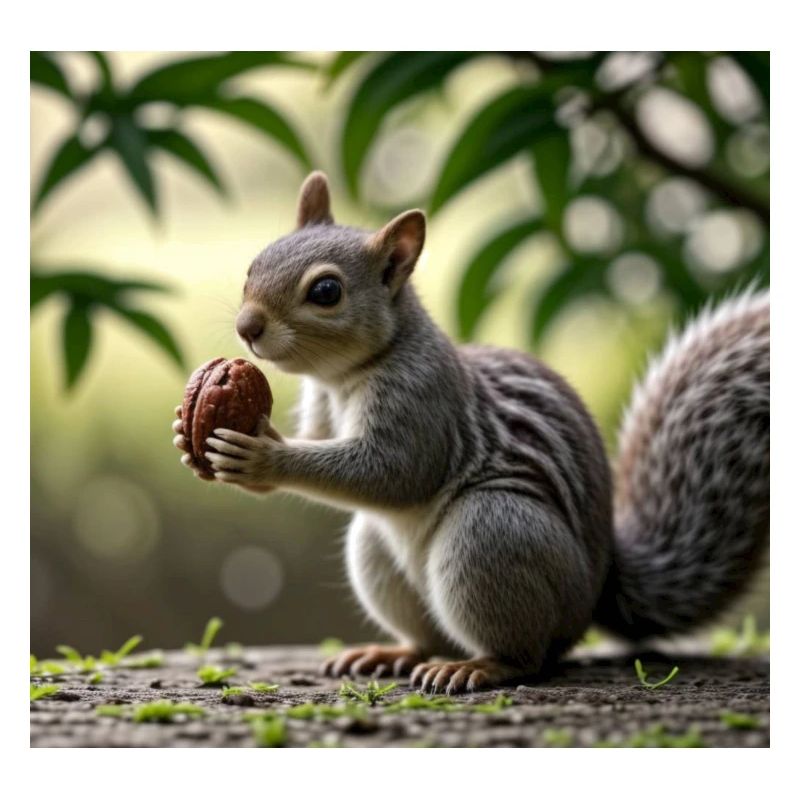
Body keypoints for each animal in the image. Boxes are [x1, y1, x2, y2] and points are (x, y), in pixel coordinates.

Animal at [172, 171, 770, 694]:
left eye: (325, 291)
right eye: (254, 264)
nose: (247, 327)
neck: (346, 376)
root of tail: (595, 592)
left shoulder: (423, 400)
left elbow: (391, 472)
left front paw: (263, 458)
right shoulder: (323, 406)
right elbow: (325, 441)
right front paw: (188, 431)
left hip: (491, 533)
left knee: (529, 655)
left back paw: (481, 667)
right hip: (377, 551)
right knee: (429, 635)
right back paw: (394, 653)